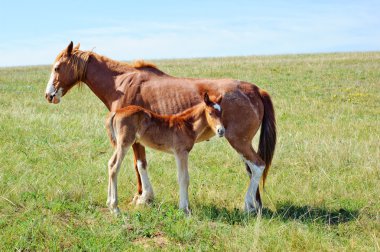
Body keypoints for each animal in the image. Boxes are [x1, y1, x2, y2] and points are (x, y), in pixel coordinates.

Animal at [45, 41, 276, 213]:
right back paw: (255, 205)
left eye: (57, 68)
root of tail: (256, 90)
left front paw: (143, 197)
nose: (49, 95)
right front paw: (142, 196)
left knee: (257, 166)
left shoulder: (133, 140)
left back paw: (248, 205)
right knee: (251, 169)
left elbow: (139, 165)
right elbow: (139, 164)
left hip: (238, 141)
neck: (122, 84)